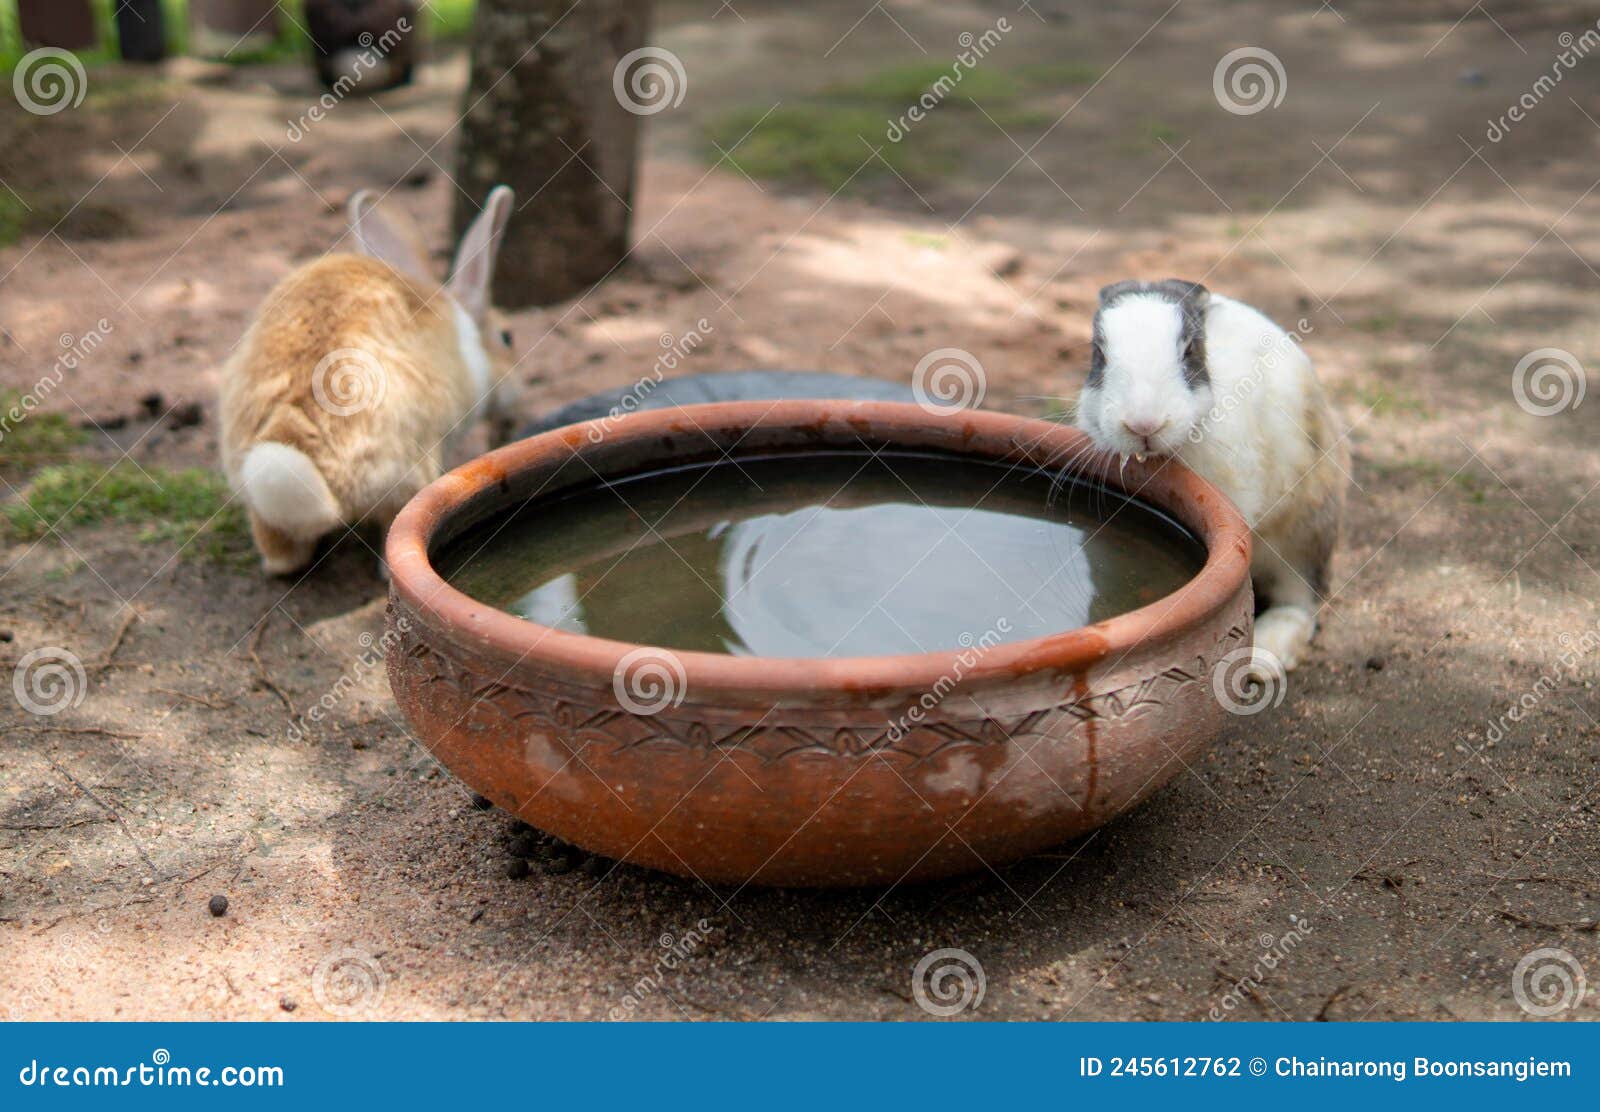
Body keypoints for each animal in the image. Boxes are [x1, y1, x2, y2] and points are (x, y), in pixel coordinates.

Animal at [1074, 278, 1348, 684]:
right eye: (1098, 353)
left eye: (1189, 350)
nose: (1143, 425)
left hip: (1306, 529)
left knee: (1300, 599)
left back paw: (1264, 657)